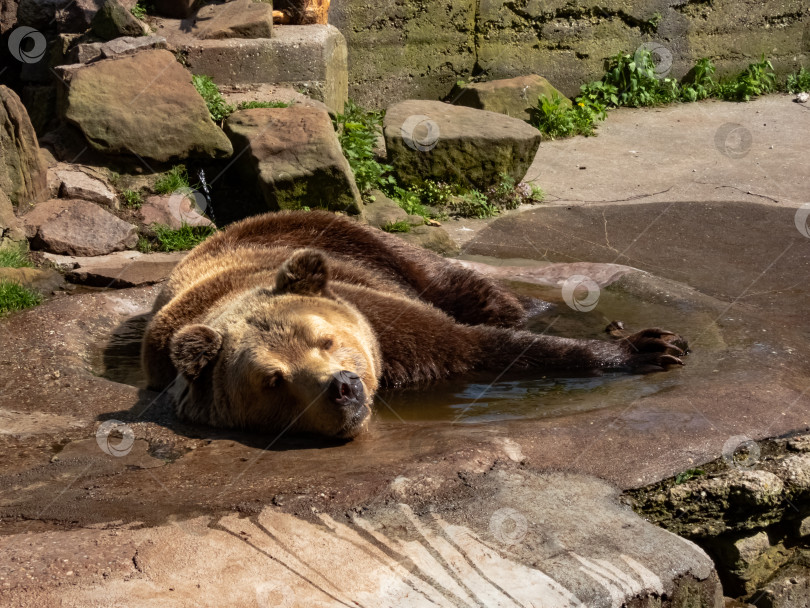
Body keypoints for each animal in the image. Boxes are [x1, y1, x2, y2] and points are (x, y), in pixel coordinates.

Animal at [142, 211, 684, 440]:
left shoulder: (384, 316)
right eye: (273, 380)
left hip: (377, 248)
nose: (342, 387)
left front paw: (651, 344)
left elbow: (483, 344)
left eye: (326, 340)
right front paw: (647, 346)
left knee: (483, 295)